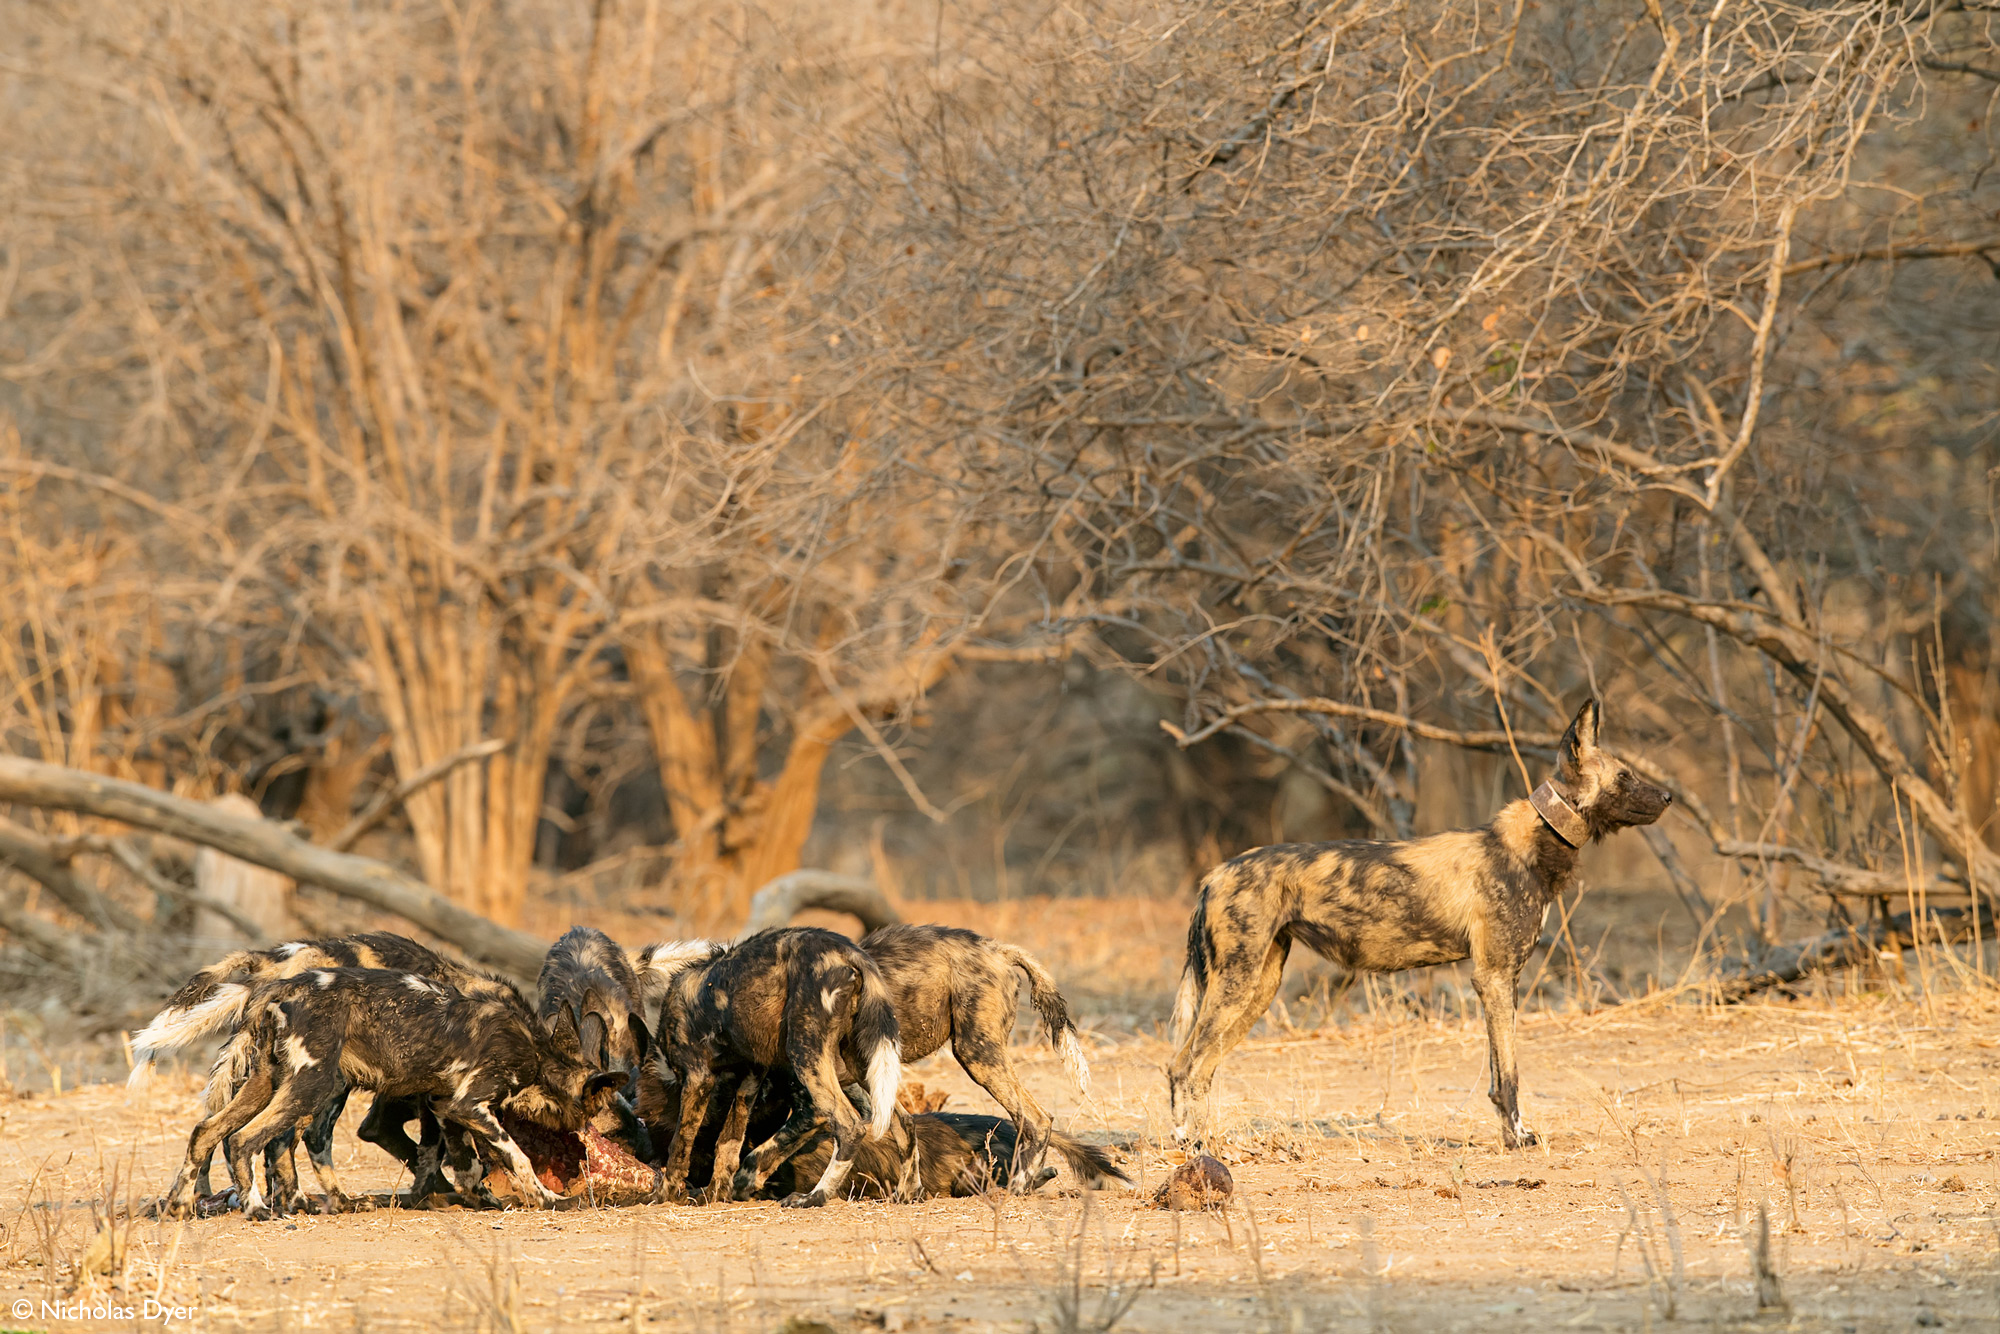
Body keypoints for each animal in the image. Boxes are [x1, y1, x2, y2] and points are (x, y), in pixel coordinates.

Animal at [161, 972, 620, 1224]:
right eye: (602, 1104)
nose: (609, 1131)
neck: (541, 1056)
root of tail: (279, 987)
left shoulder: (446, 1106)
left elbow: (466, 1162)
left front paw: (479, 1199)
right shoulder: (470, 1105)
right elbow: (517, 1156)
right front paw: (549, 1199)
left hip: (269, 1084)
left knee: (207, 1133)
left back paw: (182, 1205)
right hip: (312, 1086)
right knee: (245, 1140)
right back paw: (258, 1208)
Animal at [656, 928, 900, 1208]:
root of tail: (846, 949)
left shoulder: (697, 1078)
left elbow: (679, 1143)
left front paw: (666, 1194)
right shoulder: (752, 1075)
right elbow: (729, 1142)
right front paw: (717, 1193)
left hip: (805, 1053)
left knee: (849, 1126)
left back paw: (813, 1197)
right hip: (860, 1061)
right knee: (897, 1119)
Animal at [1168, 700, 1672, 1152]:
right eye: (1625, 776)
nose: (1669, 796)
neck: (1535, 840)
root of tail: (1214, 875)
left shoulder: (1498, 981)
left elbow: (1498, 1075)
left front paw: (1512, 1136)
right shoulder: (1494, 977)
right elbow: (1509, 1076)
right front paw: (1517, 1139)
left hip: (1259, 988)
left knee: (1187, 1067)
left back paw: (1191, 1143)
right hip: (1237, 986)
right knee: (1190, 1066)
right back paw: (1197, 1149)